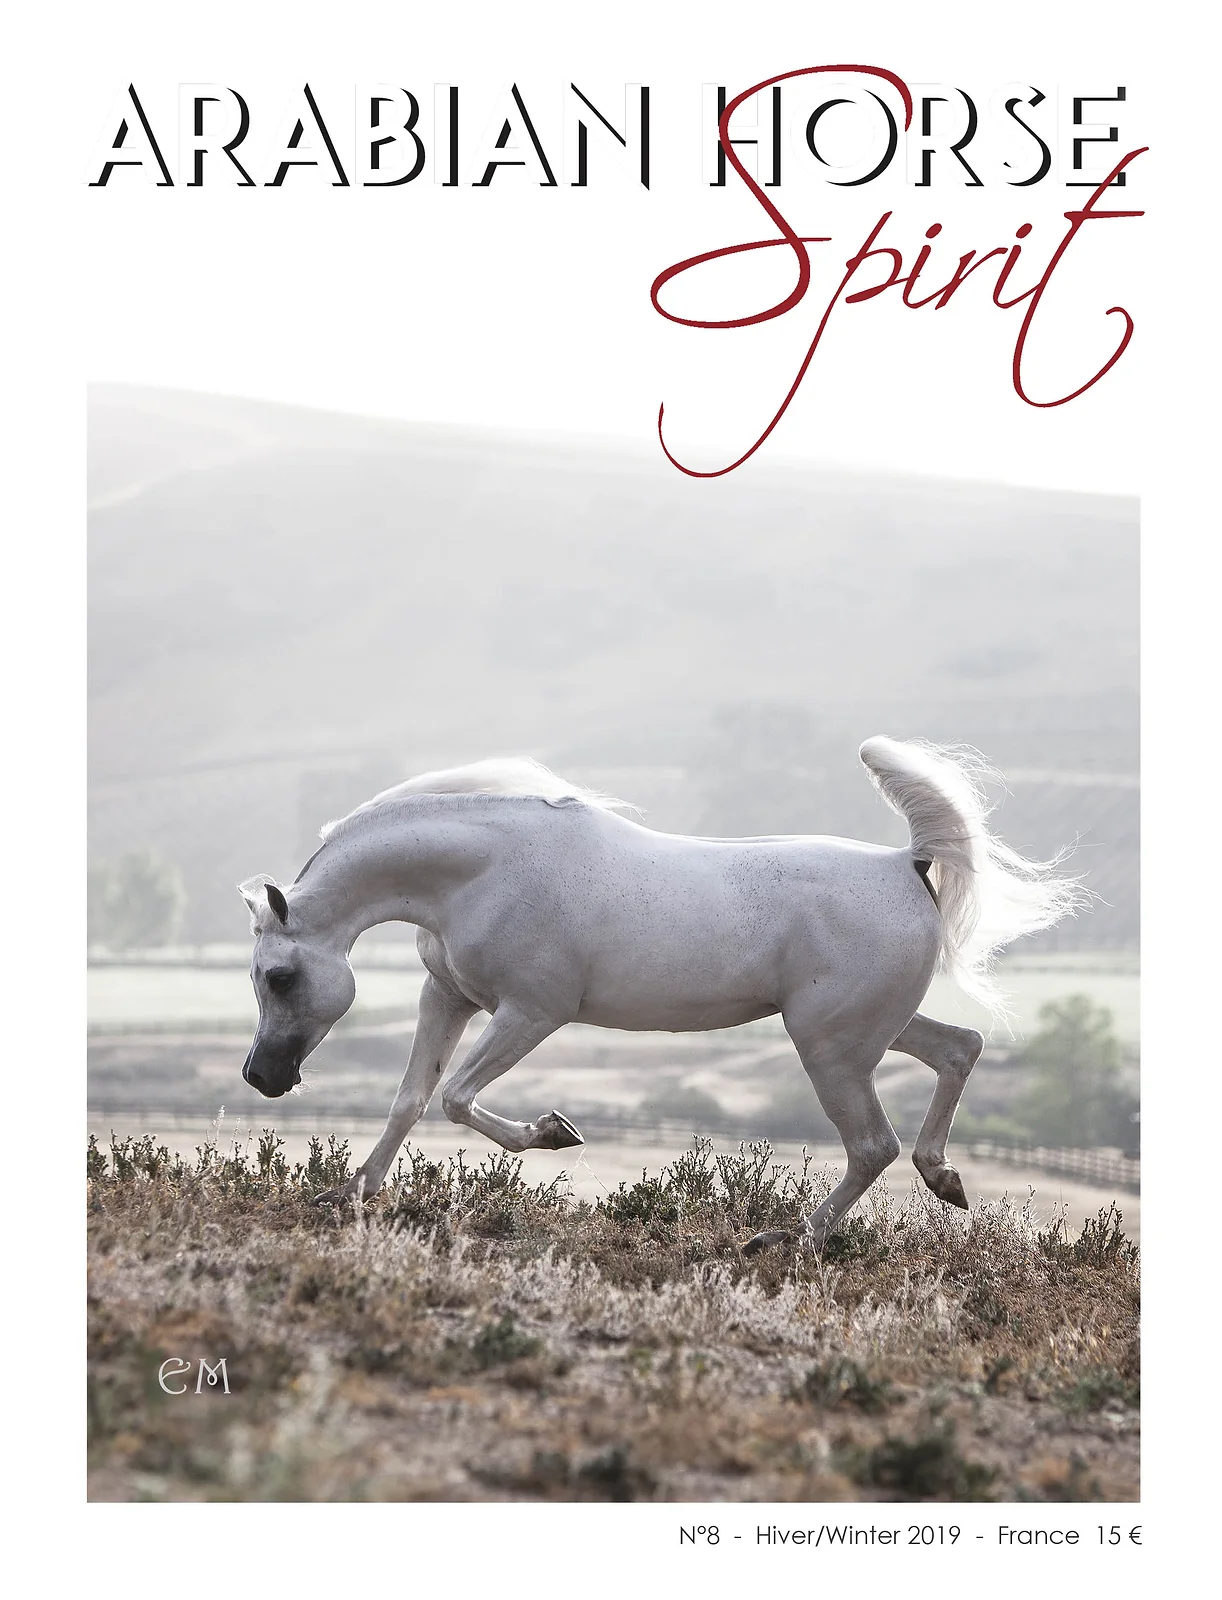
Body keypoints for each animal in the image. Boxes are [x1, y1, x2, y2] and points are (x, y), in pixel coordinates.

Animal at [238, 736, 1082, 1252]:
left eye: (279, 975)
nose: (262, 1076)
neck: (484, 872)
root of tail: (906, 864)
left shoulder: (532, 1013)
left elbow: (457, 1098)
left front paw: (555, 1132)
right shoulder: (447, 998)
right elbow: (411, 1098)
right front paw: (353, 1193)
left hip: (831, 1048)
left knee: (873, 1144)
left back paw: (790, 1241)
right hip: (868, 1029)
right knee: (959, 1049)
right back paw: (945, 1180)